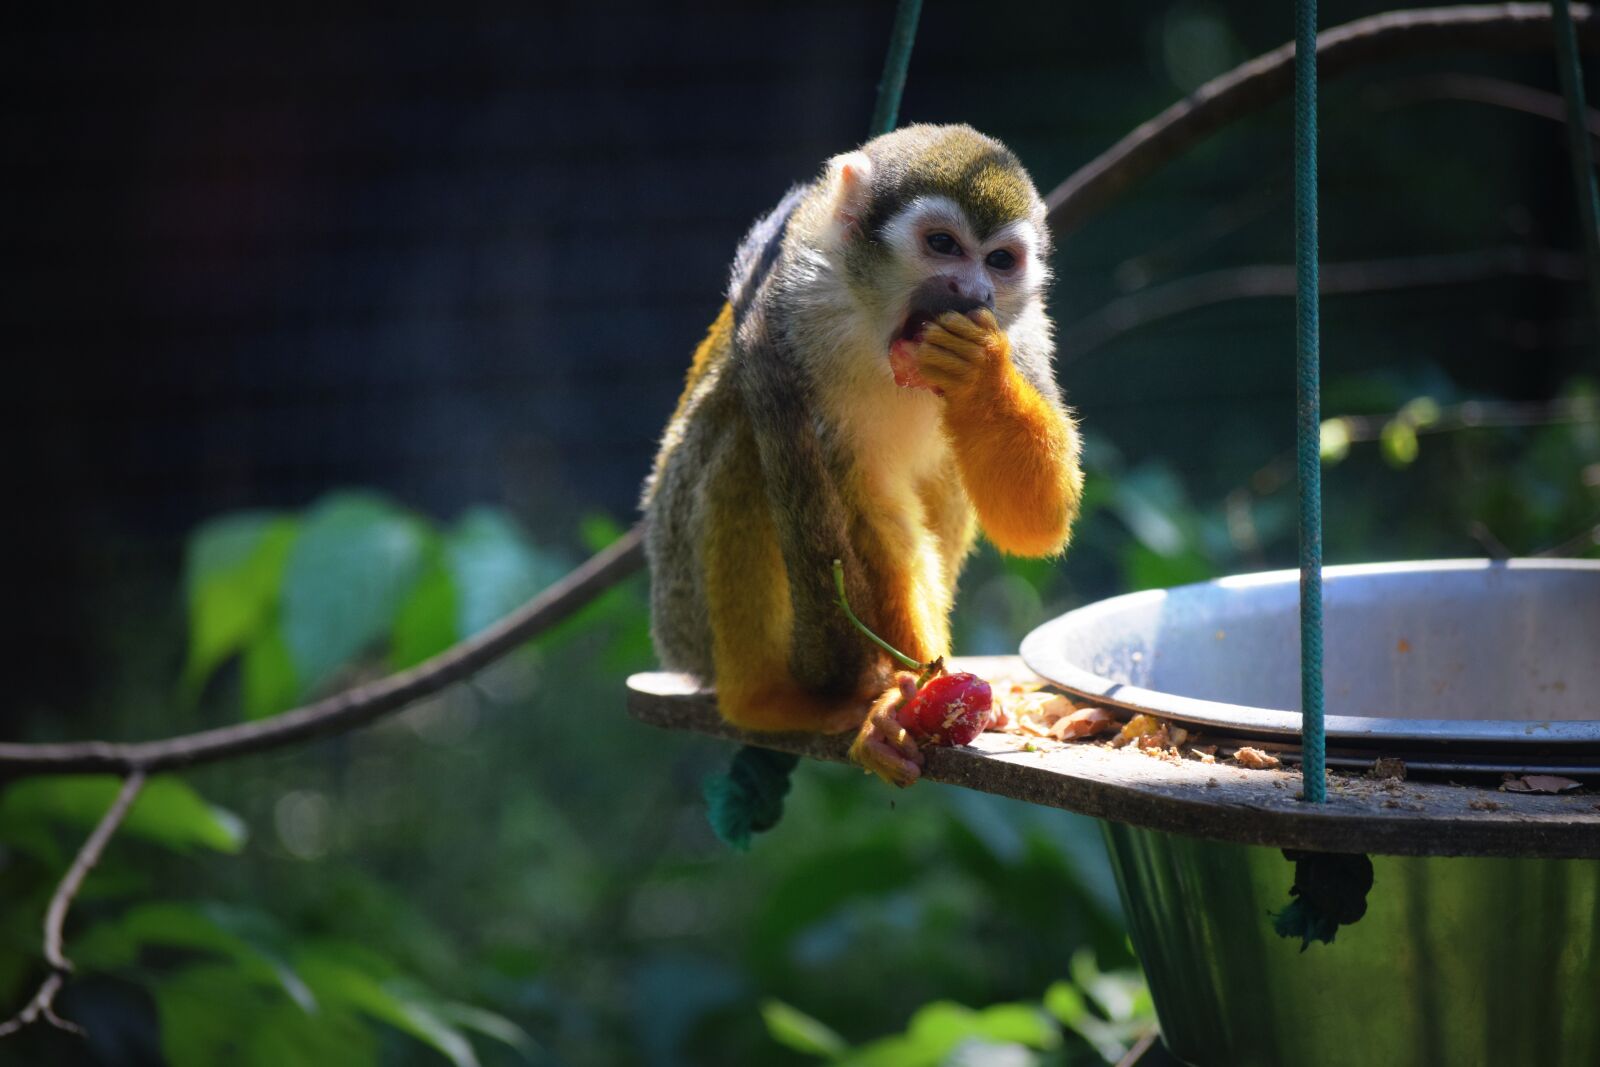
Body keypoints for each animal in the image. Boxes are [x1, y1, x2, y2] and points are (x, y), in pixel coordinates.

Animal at [642, 124, 1082, 786]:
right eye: (943, 245)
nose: (974, 291)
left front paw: (979, 373)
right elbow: (868, 505)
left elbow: (1035, 522)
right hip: (681, 607)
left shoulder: (1023, 331)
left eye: (1000, 261)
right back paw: (766, 699)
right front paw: (908, 688)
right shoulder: (796, 309)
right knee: (744, 432)